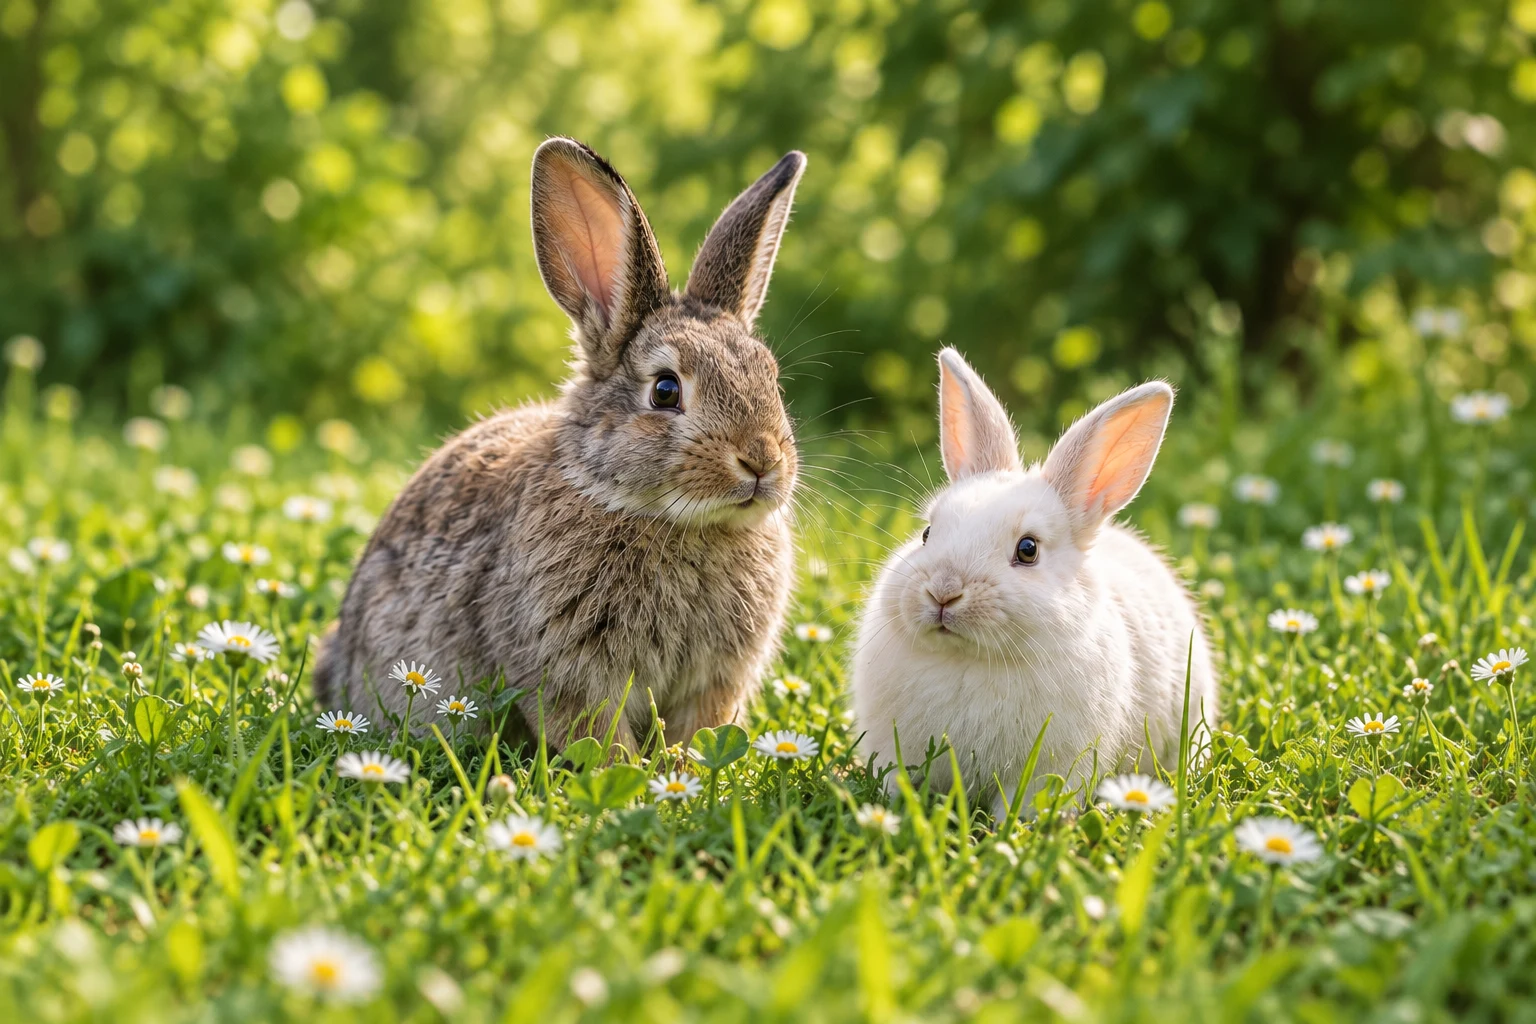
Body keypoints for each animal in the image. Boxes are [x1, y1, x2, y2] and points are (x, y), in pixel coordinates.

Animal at [314, 137, 808, 752]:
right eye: (666, 390)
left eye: (772, 380)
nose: (762, 461)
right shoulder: (571, 667)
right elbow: (599, 739)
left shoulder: (715, 680)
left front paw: (684, 766)